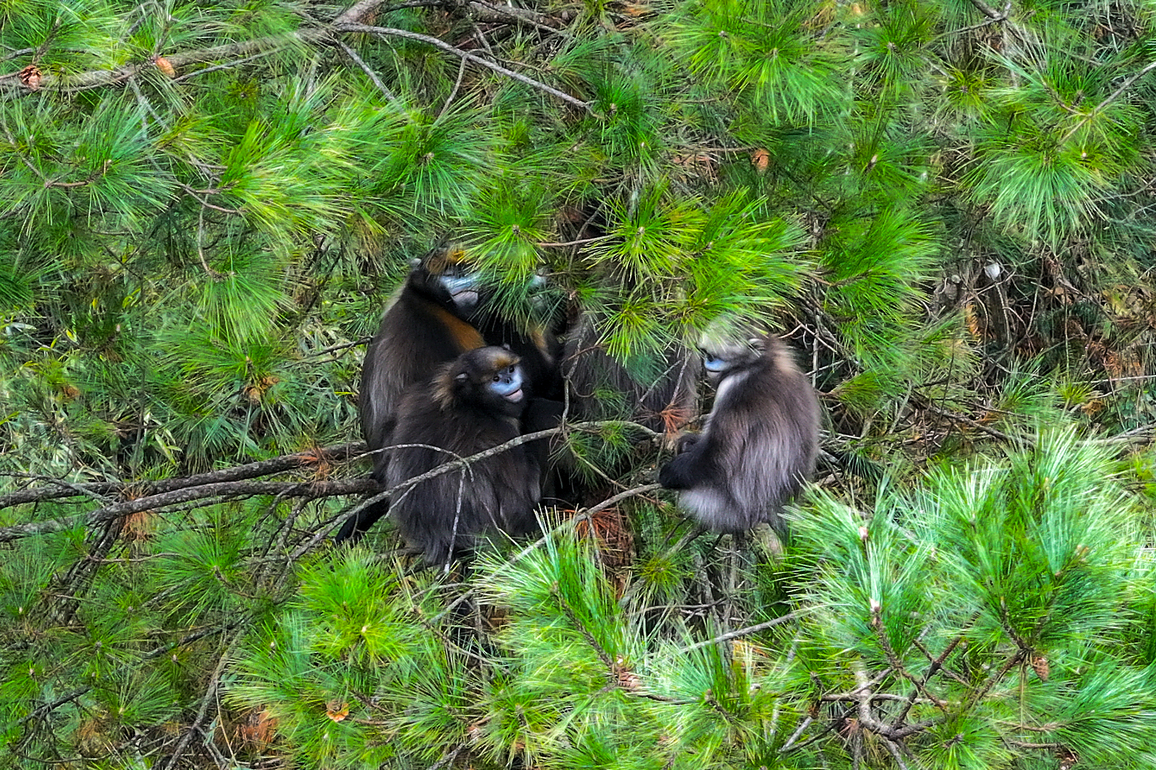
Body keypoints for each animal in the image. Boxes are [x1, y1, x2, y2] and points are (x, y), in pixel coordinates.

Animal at [386, 346, 542, 565]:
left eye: (510, 369)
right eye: (495, 379)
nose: (508, 380)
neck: (467, 401)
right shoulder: (500, 432)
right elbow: (518, 504)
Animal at [658, 333, 820, 534]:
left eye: (713, 356)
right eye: (707, 354)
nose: (707, 364)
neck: (763, 363)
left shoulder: (731, 387)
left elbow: (718, 455)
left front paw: (669, 473)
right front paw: (689, 441)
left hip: (721, 507)